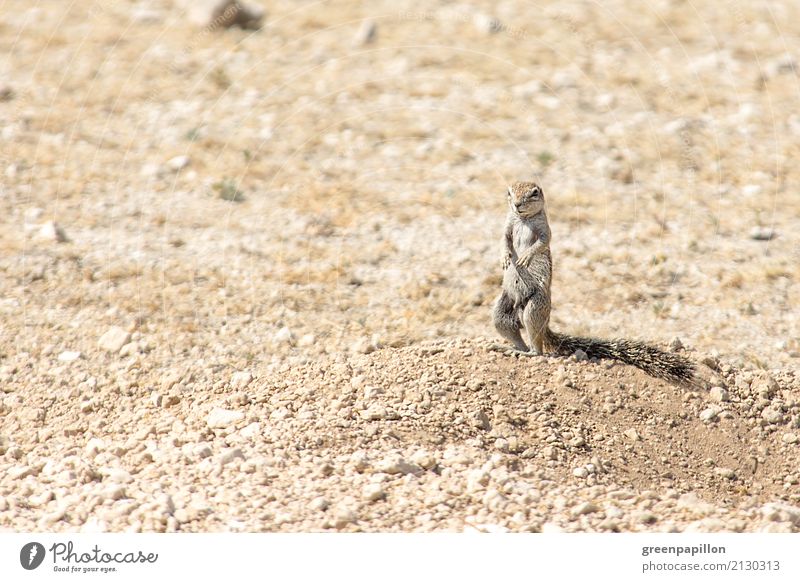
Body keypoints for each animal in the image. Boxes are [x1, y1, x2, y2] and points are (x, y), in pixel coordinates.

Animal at [490, 180, 696, 386]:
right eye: (509, 193)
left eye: (534, 194)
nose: (517, 205)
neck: (523, 219)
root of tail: (545, 324)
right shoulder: (508, 225)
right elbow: (504, 239)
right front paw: (504, 257)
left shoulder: (544, 229)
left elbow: (542, 242)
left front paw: (525, 256)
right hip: (502, 309)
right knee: (508, 326)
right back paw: (508, 348)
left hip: (535, 306)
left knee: (537, 348)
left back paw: (526, 351)